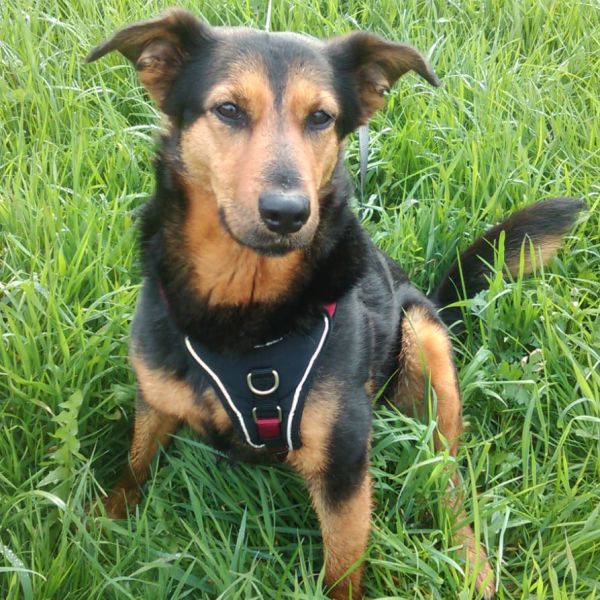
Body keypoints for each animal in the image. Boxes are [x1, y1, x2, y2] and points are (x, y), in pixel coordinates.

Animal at [86, 9, 582, 599]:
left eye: (321, 117)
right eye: (228, 109)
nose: (288, 212)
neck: (244, 307)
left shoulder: (343, 458)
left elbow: (343, 564)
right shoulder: (156, 400)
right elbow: (133, 467)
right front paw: (95, 528)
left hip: (426, 345)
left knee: (448, 480)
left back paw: (470, 562)